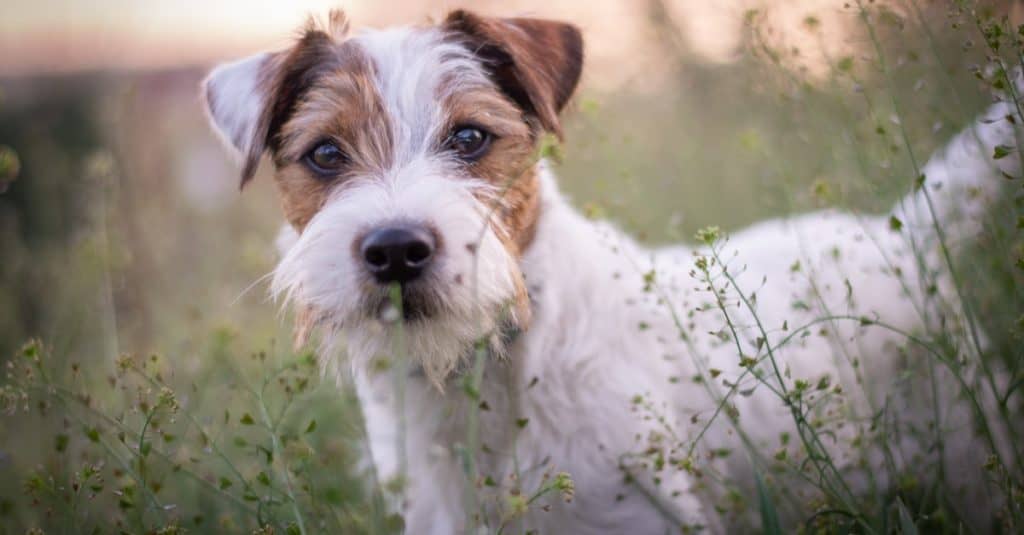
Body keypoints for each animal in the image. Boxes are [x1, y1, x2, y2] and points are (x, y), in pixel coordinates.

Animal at [203, 9, 1019, 532]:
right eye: (325, 154)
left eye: (469, 137)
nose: (397, 249)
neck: (485, 376)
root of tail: (901, 235)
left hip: (971, 456)